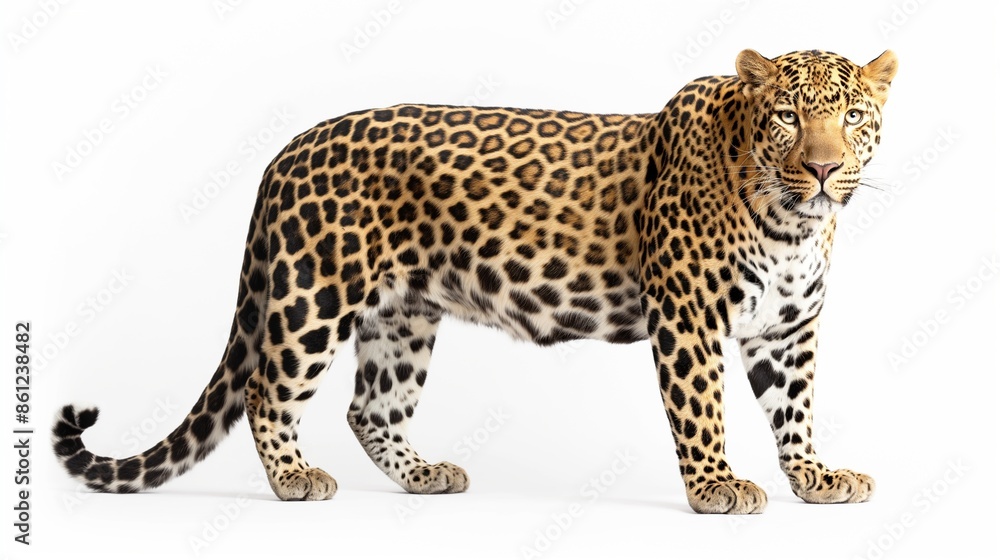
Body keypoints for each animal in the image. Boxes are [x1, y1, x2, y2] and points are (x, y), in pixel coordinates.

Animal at [53, 48, 897, 514]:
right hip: (314, 293)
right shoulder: (687, 319)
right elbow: (702, 411)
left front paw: (816, 478)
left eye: (854, 117)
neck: (792, 225)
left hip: (402, 315)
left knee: (370, 407)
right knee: (268, 387)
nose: (824, 168)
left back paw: (425, 474)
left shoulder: (787, 328)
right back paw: (295, 477)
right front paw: (717, 486)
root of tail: (287, 149)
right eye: (788, 117)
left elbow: (795, 410)